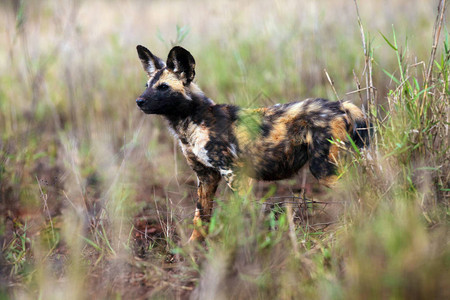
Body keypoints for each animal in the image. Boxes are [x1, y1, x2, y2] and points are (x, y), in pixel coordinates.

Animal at [134, 45, 370, 241]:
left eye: (163, 87)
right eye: (147, 85)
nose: (139, 101)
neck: (190, 122)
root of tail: (341, 105)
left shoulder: (234, 173)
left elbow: (246, 213)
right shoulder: (206, 177)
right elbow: (200, 217)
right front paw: (193, 250)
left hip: (323, 170)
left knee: (358, 193)